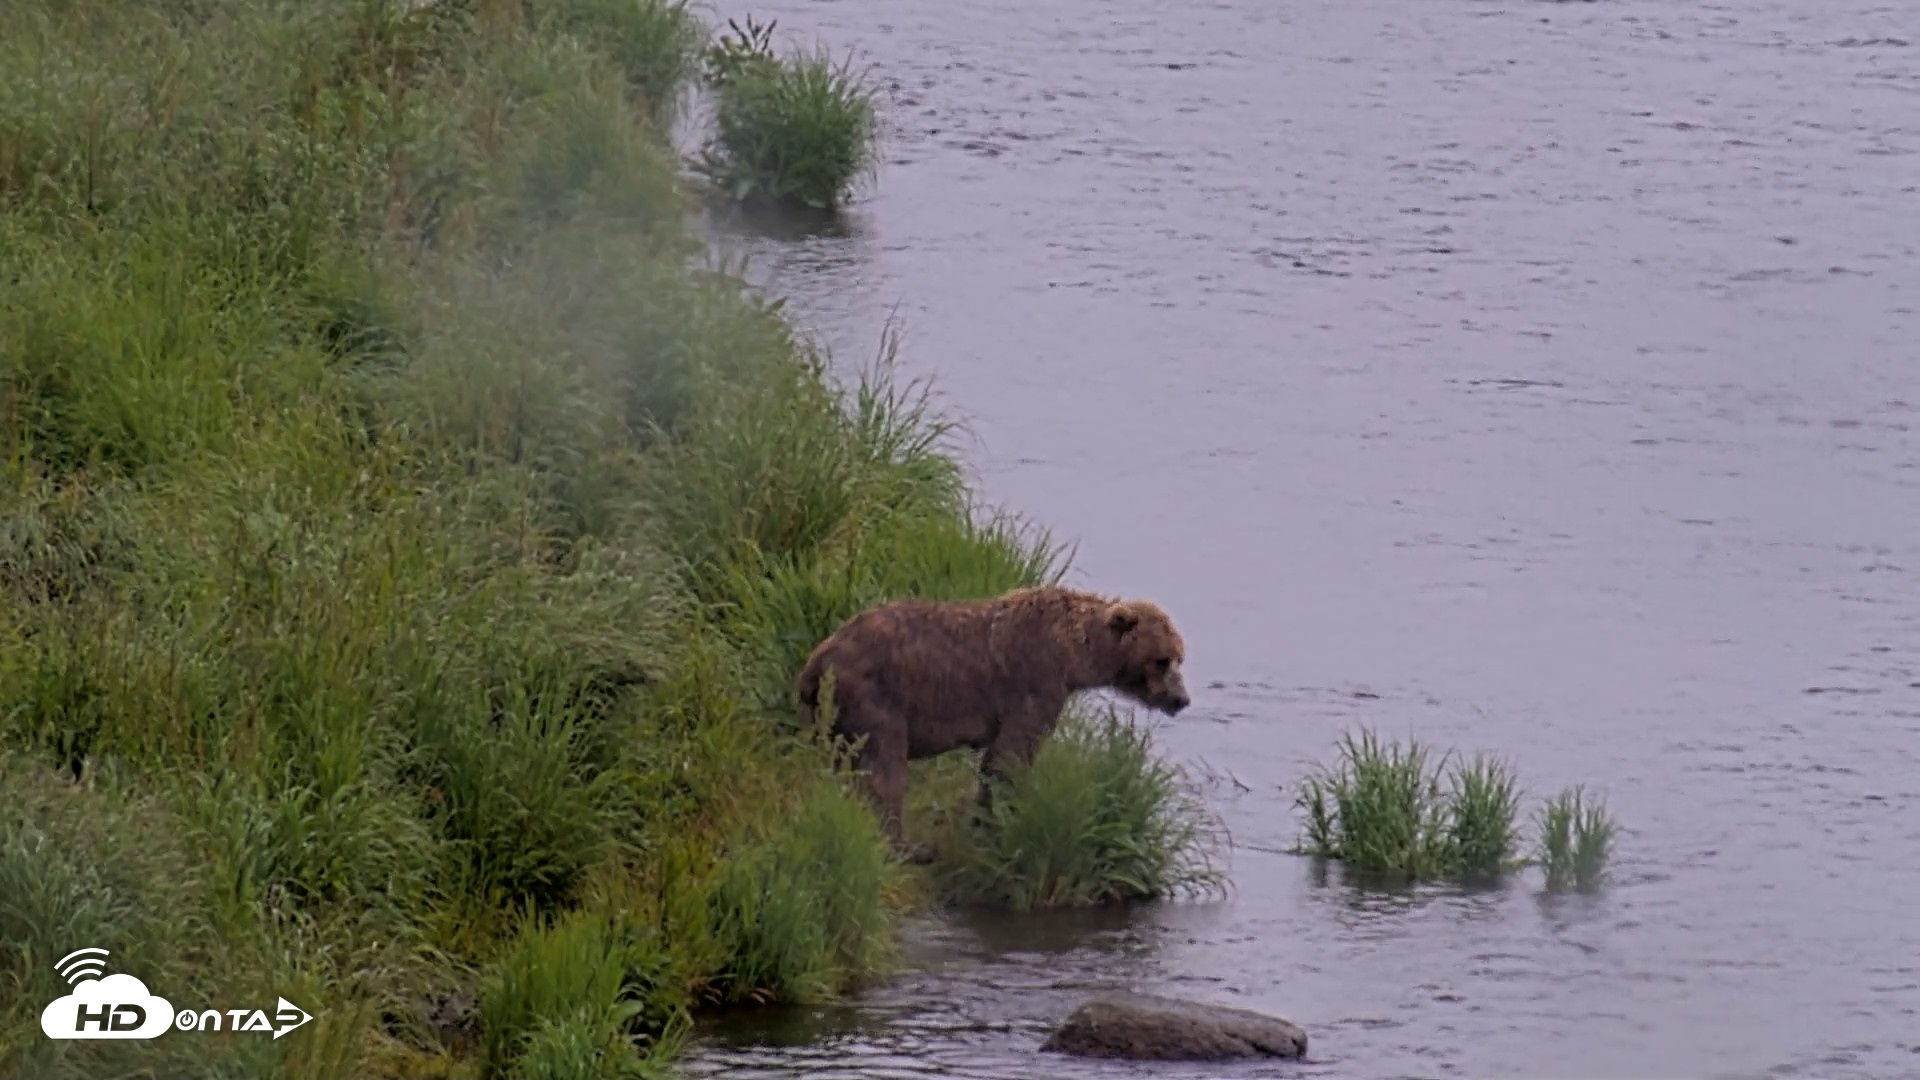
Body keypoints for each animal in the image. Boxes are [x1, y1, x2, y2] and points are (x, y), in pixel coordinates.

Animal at [794, 584, 1192, 864]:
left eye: (1179, 657)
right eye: (1161, 660)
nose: (1181, 699)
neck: (1075, 657)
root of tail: (817, 659)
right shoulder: (1034, 682)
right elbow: (1011, 754)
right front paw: (1001, 821)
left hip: (830, 715)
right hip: (877, 698)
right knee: (883, 766)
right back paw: (910, 848)